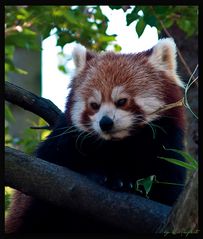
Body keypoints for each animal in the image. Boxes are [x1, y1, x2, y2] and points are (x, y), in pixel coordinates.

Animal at [5, 38, 186, 232]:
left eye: (122, 101)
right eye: (94, 105)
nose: (105, 123)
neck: (119, 145)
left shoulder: (167, 150)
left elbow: (167, 190)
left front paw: (124, 181)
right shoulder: (60, 145)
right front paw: (104, 175)